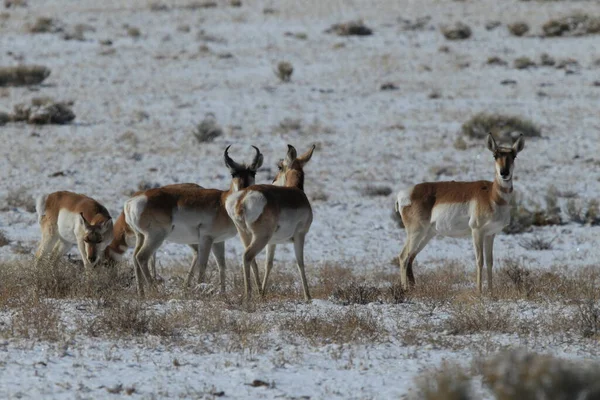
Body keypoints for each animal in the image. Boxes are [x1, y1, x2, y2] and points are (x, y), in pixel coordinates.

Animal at [124, 145, 262, 296]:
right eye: (233, 173)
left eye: (253, 172)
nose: (244, 189)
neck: (222, 202)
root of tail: (134, 200)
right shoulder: (206, 238)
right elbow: (203, 265)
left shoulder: (218, 241)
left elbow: (222, 265)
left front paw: (223, 294)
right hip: (156, 237)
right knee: (142, 257)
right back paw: (155, 291)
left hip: (141, 236)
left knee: (134, 257)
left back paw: (141, 293)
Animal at [226, 144, 318, 300]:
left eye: (280, 167)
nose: (273, 180)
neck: (296, 191)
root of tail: (243, 197)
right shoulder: (300, 236)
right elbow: (300, 263)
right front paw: (308, 296)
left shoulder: (273, 242)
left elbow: (268, 264)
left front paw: (262, 293)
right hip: (261, 237)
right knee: (247, 256)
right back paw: (248, 295)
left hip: (245, 234)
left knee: (251, 259)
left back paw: (255, 293)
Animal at [398, 134, 524, 294]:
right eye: (495, 155)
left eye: (513, 156)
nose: (504, 173)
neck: (492, 194)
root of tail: (406, 193)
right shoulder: (477, 232)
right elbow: (479, 260)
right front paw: (479, 292)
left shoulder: (490, 234)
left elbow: (490, 261)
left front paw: (491, 292)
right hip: (416, 233)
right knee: (403, 257)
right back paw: (404, 290)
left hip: (427, 235)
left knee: (411, 257)